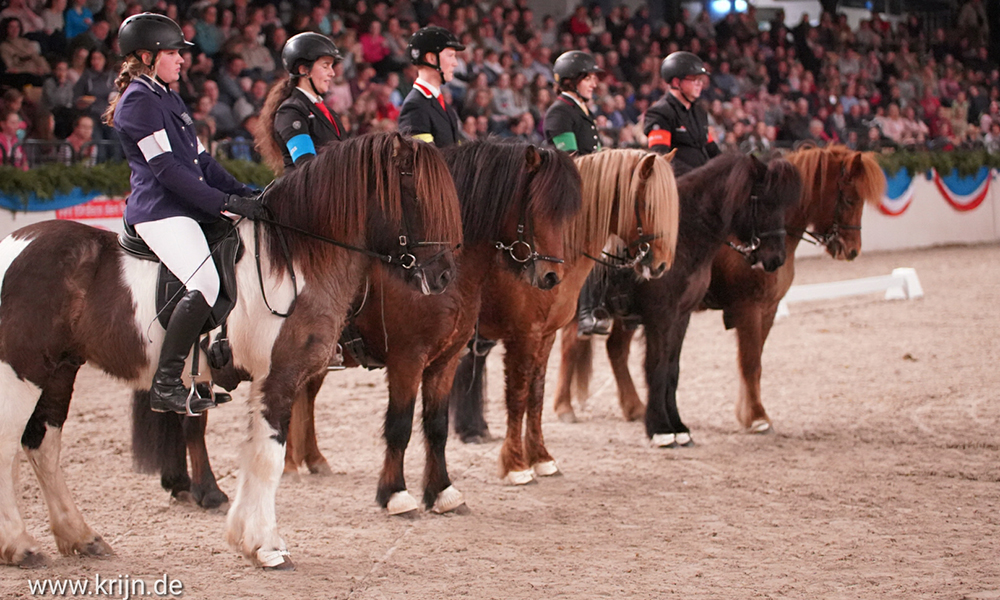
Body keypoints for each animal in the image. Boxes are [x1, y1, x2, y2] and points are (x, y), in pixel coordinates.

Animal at [0, 134, 460, 568]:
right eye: (415, 193)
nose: (442, 276)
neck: (293, 258)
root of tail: (14, 245)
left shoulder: (270, 381)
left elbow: (257, 455)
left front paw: (247, 540)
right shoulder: (280, 377)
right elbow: (270, 458)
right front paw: (268, 547)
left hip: (60, 371)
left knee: (43, 446)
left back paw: (81, 537)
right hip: (23, 370)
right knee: (9, 446)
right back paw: (20, 545)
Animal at [129, 137, 584, 516]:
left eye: (568, 215)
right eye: (537, 209)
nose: (550, 277)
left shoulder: (446, 360)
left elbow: (436, 427)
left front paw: (442, 492)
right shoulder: (407, 360)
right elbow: (399, 426)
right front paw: (395, 495)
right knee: (193, 422)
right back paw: (208, 490)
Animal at [452, 150, 680, 482]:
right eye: (649, 205)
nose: (661, 265)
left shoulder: (546, 334)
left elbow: (536, 393)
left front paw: (541, 458)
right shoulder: (524, 335)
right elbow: (518, 393)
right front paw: (516, 464)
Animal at [552, 155, 800, 446]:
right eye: (762, 201)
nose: (775, 260)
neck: (684, 238)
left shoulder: (682, 316)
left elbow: (672, 369)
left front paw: (679, 427)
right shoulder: (661, 317)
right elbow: (656, 367)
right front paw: (660, 429)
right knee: (569, 346)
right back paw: (564, 409)